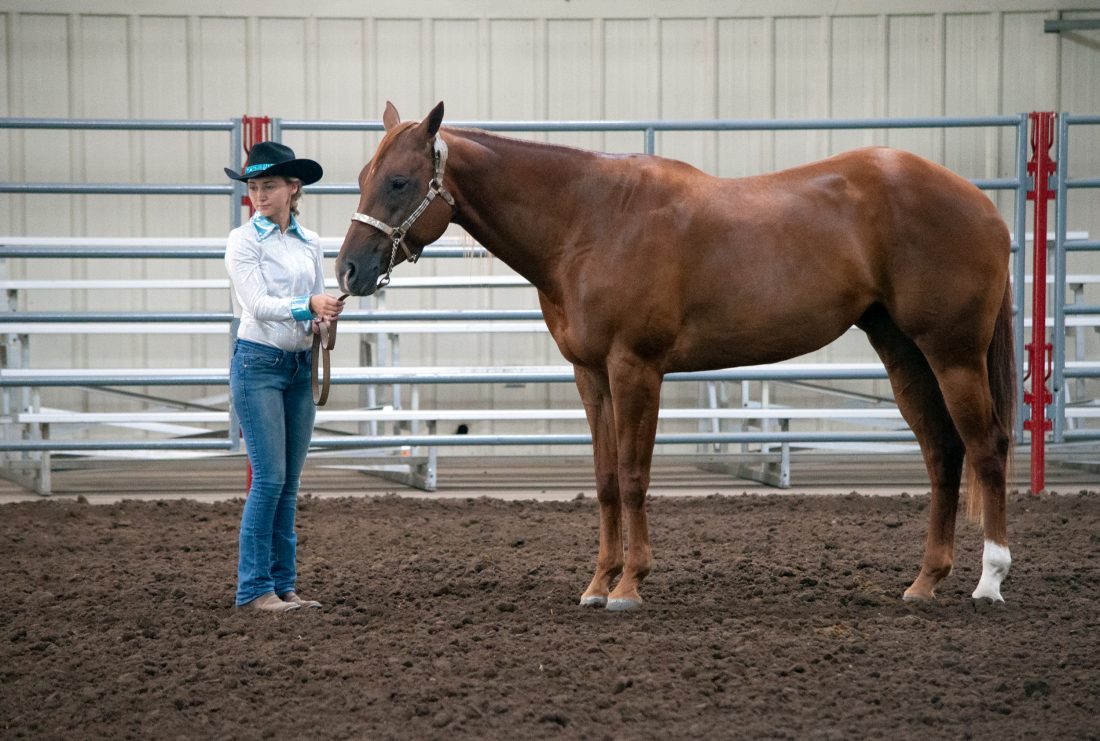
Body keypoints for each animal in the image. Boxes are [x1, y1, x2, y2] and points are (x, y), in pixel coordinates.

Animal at [336, 102, 1016, 611]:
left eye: (398, 181)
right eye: (364, 175)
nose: (348, 272)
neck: (588, 221)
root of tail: (983, 204)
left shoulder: (636, 368)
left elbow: (635, 477)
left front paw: (630, 586)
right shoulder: (591, 375)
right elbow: (606, 481)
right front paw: (598, 583)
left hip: (953, 353)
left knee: (985, 447)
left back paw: (990, 581)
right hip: (903, 353)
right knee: (942, 452)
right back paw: (924, 582)